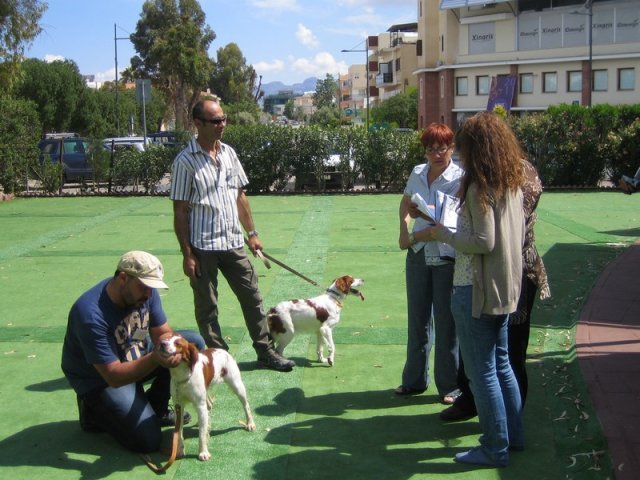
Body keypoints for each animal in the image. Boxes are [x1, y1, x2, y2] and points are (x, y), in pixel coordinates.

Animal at [158, 334, 255, 462]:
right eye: (166, 338)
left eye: (178, 343)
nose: (162, 343)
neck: (182, 377)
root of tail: (222, 350)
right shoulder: (179, 405)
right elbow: (179, 432)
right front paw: (179, 451)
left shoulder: (199, 405)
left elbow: (201, 434)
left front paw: (203, 452)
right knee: (209, 405)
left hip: (237, 385)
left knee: (246, 405)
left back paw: (250, 424)